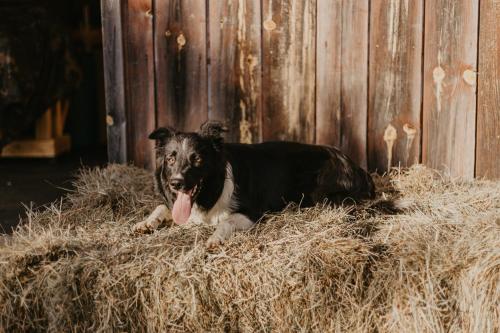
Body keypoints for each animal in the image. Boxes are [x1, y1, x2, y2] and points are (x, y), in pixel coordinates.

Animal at [133, 120, 376, 246]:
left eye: (198, 159)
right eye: (171, 159)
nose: (177, 183)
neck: (211, 191)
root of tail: (355, 166)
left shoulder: (252, 213)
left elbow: (226, 221)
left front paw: (215, 238)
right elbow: (162, 207)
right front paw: (146, 223)